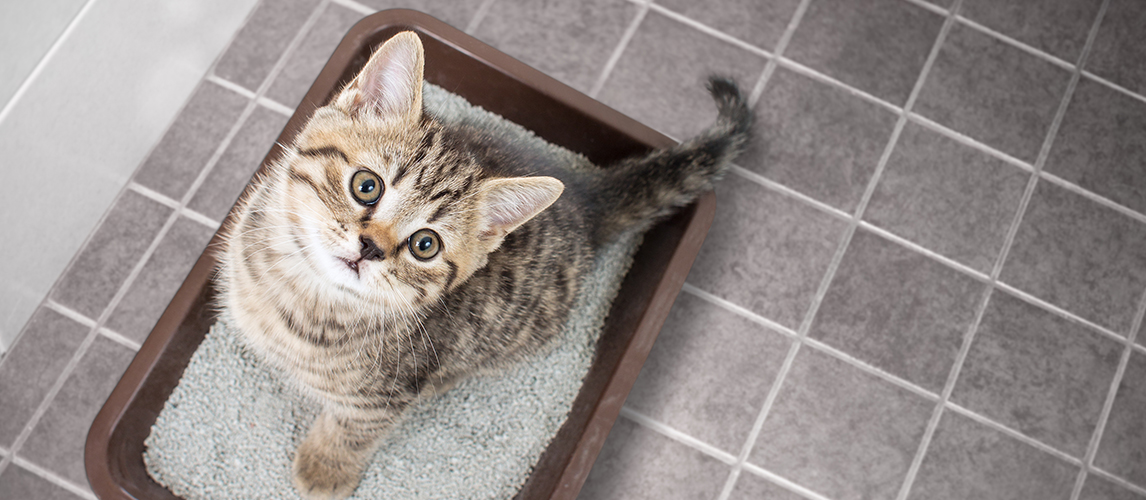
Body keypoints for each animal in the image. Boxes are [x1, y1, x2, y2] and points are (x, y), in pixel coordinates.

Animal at [218, 32, 756, 499]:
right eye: (366, 185)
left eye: (425, 245)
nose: (371, 247)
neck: (299, 290)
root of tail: (585, 200)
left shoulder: (388, 392)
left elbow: (353, 428)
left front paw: (326, 468)